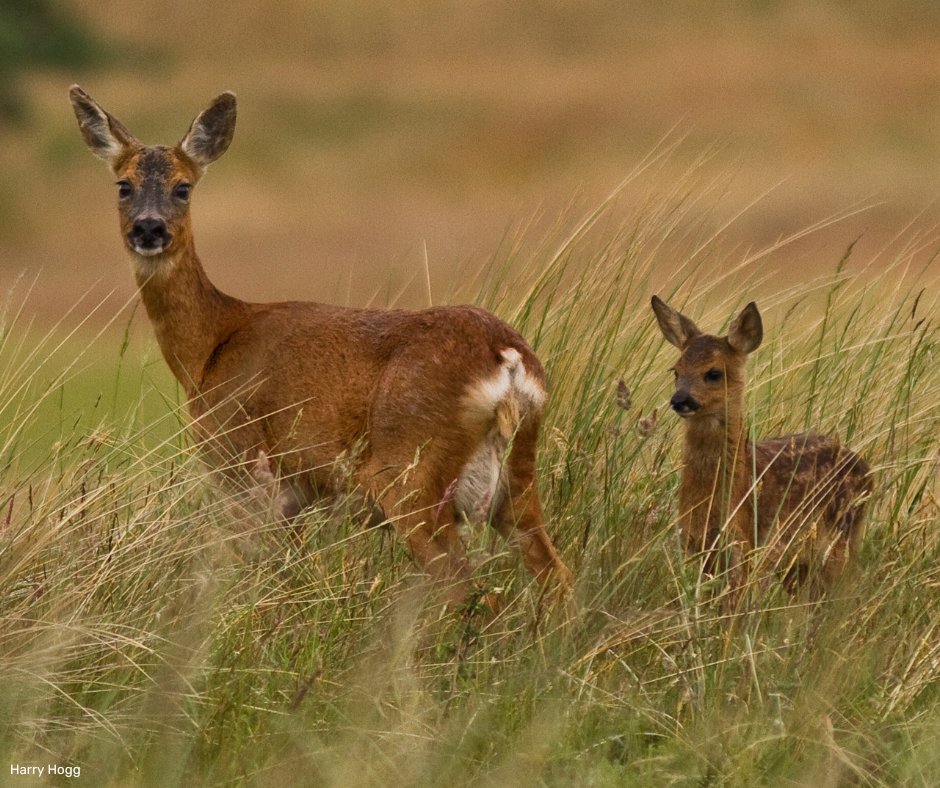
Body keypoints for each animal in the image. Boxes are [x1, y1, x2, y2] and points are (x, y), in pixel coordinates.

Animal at [70, 84, 568, 604]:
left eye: (183, 187)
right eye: (123, 185)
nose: (149, 228)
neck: (211, 345)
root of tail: (507, 359)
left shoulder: (243, 463)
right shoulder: (297, 493)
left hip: (407, 474)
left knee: (466, 587)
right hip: (517, 479)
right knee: (556, 577)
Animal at [648, 296, 872, 596]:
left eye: (714, 373)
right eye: (676, 370)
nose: (680, 400)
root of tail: (867, 470)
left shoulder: (745, 547)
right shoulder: (694, 545)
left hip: (840, 539)